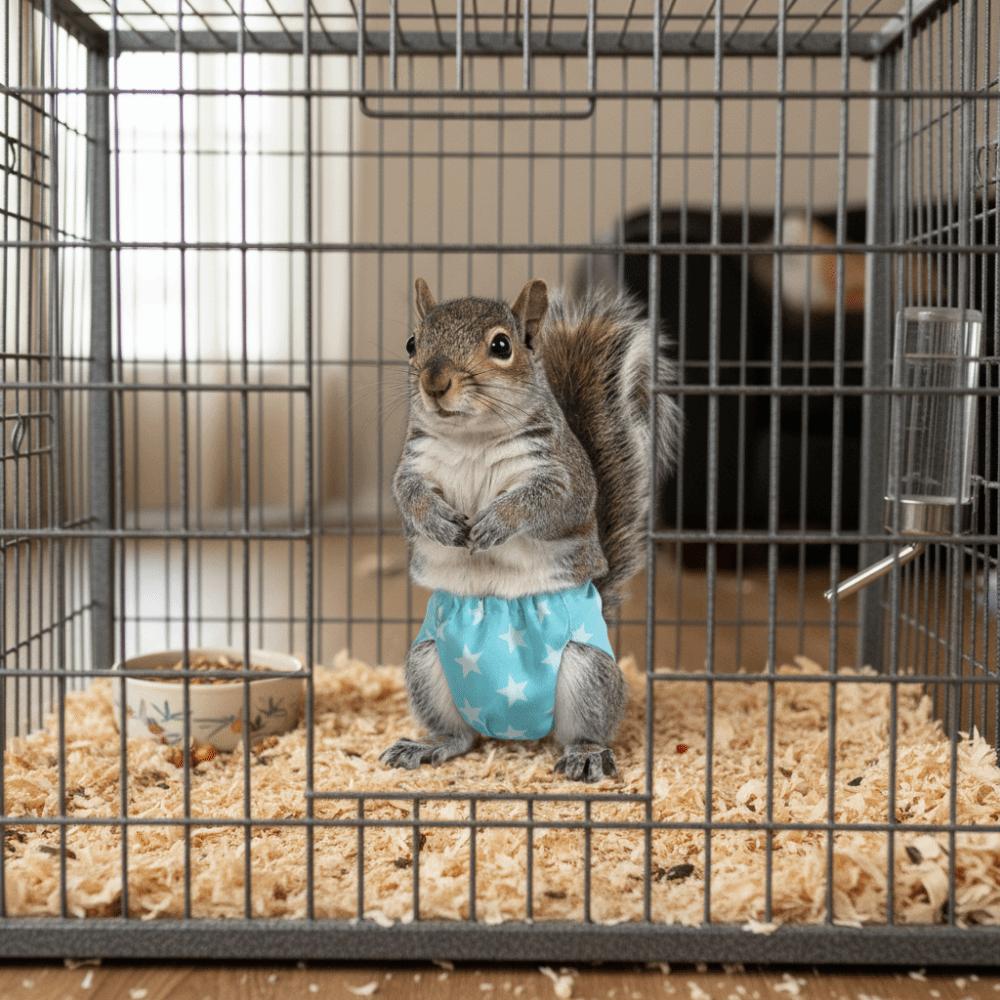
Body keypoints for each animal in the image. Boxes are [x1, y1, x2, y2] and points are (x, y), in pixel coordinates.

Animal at [380, 278, 679, 782]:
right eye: (411, 343)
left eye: (501, 346)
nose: (434, 383)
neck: (472, 439)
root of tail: (511, 727)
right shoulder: (412, 467)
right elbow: (409, 498)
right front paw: (438, 522)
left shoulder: (563, 478)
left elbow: (545, 505)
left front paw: (496, 522)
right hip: (426, 662)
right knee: (460, 736)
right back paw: (429, 745)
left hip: (586, 668)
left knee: (585, 727)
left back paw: (586, 753)